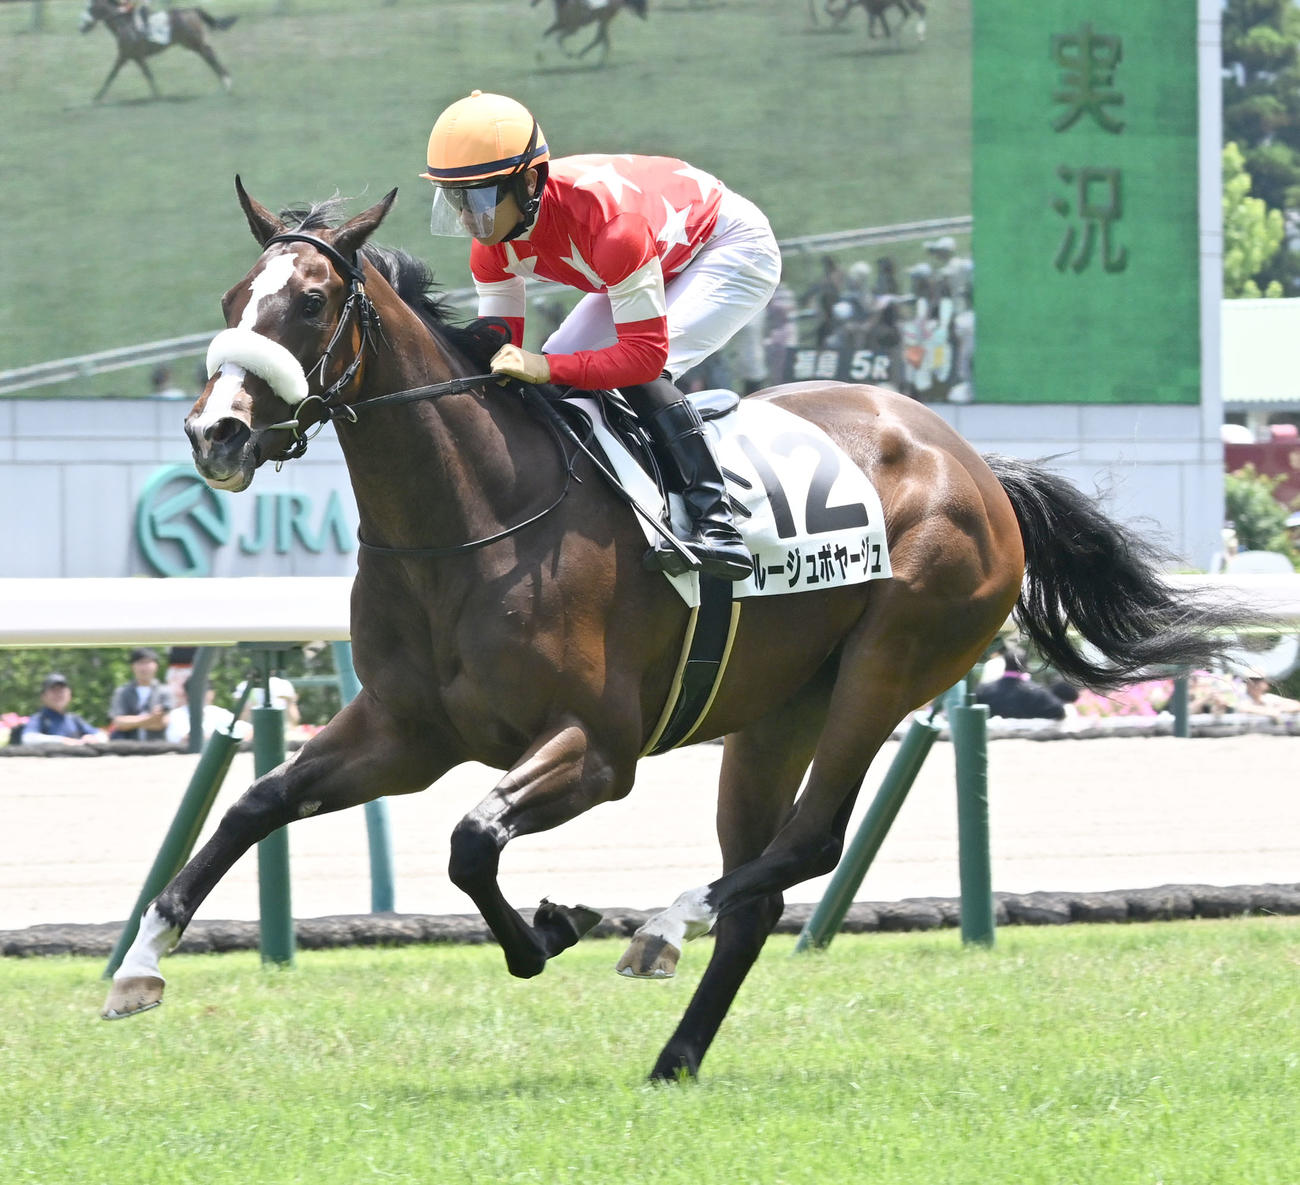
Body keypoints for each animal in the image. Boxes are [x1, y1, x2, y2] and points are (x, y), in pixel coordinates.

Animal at [79, 0, 237, 102]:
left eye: (89, 8)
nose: (81, 28)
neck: (123, 23)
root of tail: (193, 10)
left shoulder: (127, 55)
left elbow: (112, 75)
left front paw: (96, 98)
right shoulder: (133, 56)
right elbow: (144, 75)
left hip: (194, 43)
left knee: (210, 56)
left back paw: (227, 84)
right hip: (193, 44)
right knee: (210, 57)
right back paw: (226, 85)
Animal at [102, 180, 1257, 1082]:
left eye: (306, 302)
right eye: (230, 302)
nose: (216, 432)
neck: (467, 521)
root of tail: (976, 464)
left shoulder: (598, 748)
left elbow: (473, 840)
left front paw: (550, 930)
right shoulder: (405, 731)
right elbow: (257, 803)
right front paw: (137, 968)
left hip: (891, 661)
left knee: (811, 840)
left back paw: (658, 930)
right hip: (775, 708)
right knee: (762, 886)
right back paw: (674, 1056)